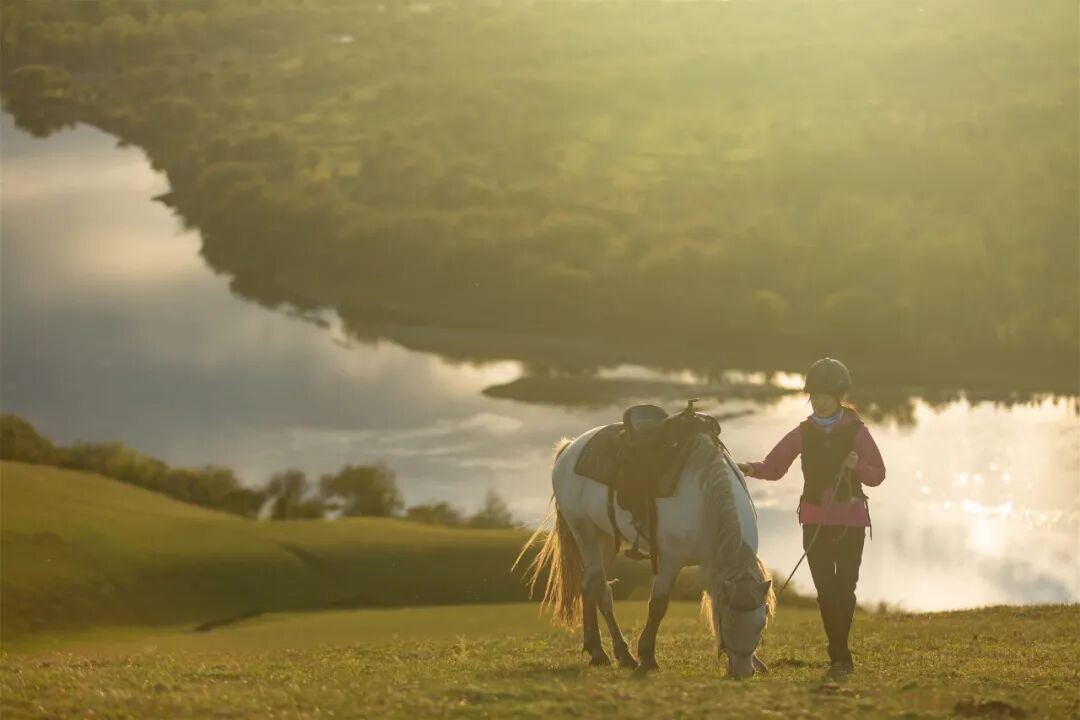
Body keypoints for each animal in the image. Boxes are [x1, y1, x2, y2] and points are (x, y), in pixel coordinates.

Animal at [514, 424, 775, 679]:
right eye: (728, 622)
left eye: (761, 625)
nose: (743, 673)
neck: (703, 498)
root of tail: (570, 448)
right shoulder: (670, 560)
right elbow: (658, 605)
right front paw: (647, 658)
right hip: (586, 534)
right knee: (601, 590)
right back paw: (619, 654)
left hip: (605, 541)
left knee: (589, 585)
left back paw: (598, 650)